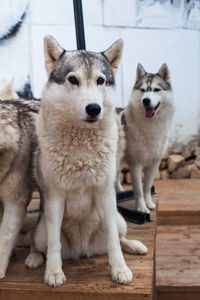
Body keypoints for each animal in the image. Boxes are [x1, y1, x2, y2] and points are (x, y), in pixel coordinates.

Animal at [25, 35, 148, 286]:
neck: (81, 145)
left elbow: (113, 242)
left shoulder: (105, 195)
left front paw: (120, 269)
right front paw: (54, 272)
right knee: (37, 242)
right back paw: (34, 258)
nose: (93, 109)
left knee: (120, 237)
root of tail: (82, 249)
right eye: (73, 79)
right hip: (41, 228)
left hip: (119, 219)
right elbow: (54, 243)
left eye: (100, 80)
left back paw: (135, 246)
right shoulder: (55, 199)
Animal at [116, 63, 176, 213]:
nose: (146, 100)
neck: (151, 125)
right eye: (143, 90)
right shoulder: (136, 165)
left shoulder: (154, 164)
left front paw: (149, 203)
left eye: (156, 90)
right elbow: (138, 190)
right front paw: (141, 208)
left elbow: (147, 187)